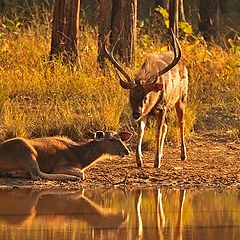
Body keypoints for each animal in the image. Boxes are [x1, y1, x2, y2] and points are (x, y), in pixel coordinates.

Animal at [0, 131, 132, 180]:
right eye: (111, 139)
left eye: (120, 138)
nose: (127, 151)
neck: (80, 157)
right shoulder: (62, 165)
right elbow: (82, 173)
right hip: (26, 151)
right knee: (36, 174)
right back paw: (71, 177)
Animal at [104, 30, 188, 169]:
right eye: (131, 96)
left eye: (146, 97)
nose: (135, 113)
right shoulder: (145, 112)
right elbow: (141, 131)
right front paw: (139, 160)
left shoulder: (162, 107)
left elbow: (157, 131)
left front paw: (156, 162)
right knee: (166, 126)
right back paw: (162, 154)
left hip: (182, 98)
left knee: (181, 123)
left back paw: (183, 155)